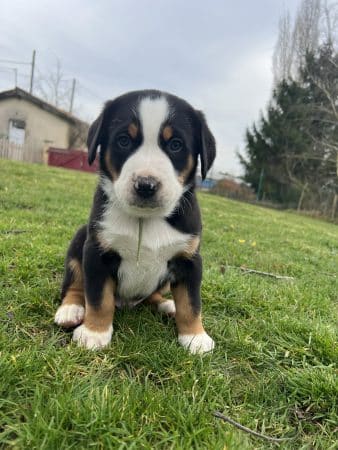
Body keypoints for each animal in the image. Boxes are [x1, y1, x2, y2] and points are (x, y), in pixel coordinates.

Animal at [53, 89, 215, 354]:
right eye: (124, 141)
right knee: (75, 283)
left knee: (155, 296)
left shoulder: (189, 259)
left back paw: (167, 305)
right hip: (80, 239)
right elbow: (98, 298)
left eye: (176, 145)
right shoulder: (96, 252)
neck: (144, 219)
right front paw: (94, 333)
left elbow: (191, 303)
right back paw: (71, 310)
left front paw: (195, 336)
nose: (146, 185)